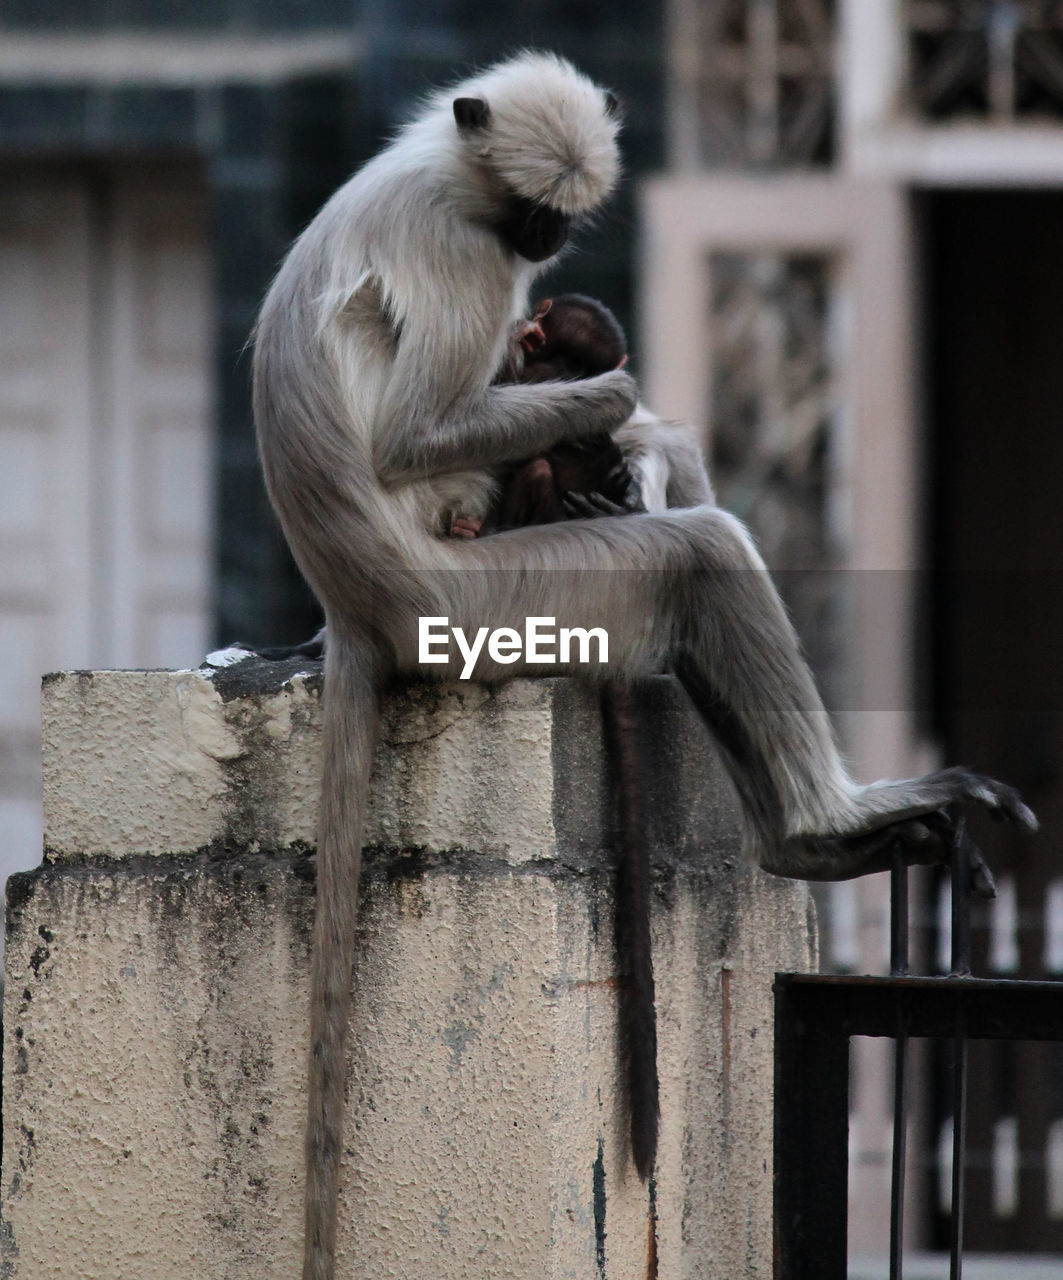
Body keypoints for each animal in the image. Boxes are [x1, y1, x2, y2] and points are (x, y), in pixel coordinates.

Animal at [253, 52, 1034, 1280]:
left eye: (559, 217)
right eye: (528, 213)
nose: (542, 241)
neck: (439, 171)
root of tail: (355, 610)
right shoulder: (465, 252)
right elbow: (421, 436)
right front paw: (612, 403)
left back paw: (801, 840)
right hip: (491, 604)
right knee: (699, 548)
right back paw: (822, 819)